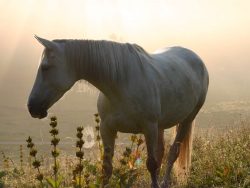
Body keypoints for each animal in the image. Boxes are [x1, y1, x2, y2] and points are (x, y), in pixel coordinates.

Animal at [27, 36, 209, 187]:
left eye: (45, 67)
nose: (31, 107)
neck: (120, 83)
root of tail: (196, 58)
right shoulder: (107, 129)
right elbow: (107, 168)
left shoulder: (148, 127)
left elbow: (151, 164)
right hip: (160, 126)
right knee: (162, 152)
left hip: (186, 120)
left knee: (172, 153)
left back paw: (164, 183)